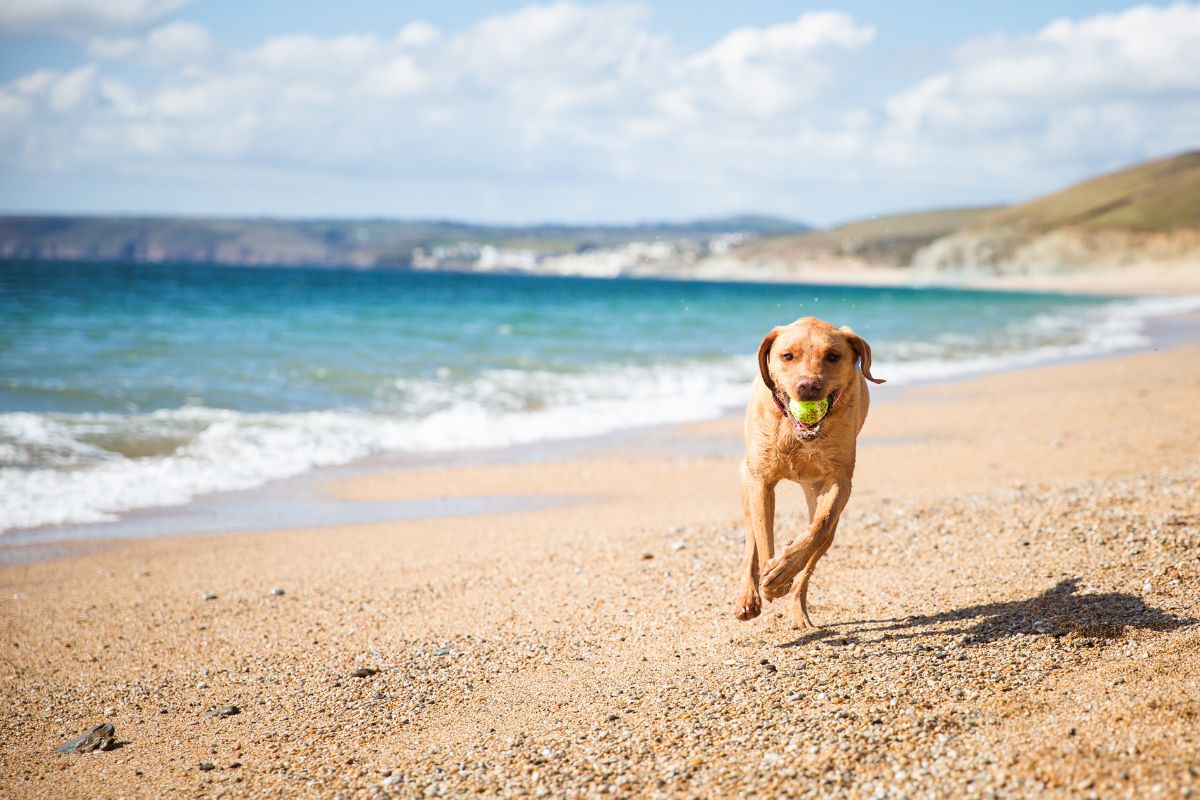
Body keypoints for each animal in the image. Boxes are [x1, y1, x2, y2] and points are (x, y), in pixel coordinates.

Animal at [729, 316, 883, 628]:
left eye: (833, 356)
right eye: (787, 356)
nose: (808, 386)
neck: (796, 431)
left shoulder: (839, 481)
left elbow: (819, 528)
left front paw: (782, 570)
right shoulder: (761, 482)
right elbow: (763, 537)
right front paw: (771, 577)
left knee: (814, 553)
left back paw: (798, 609)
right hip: (747, 481)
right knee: (751, 538)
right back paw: (748, 597)